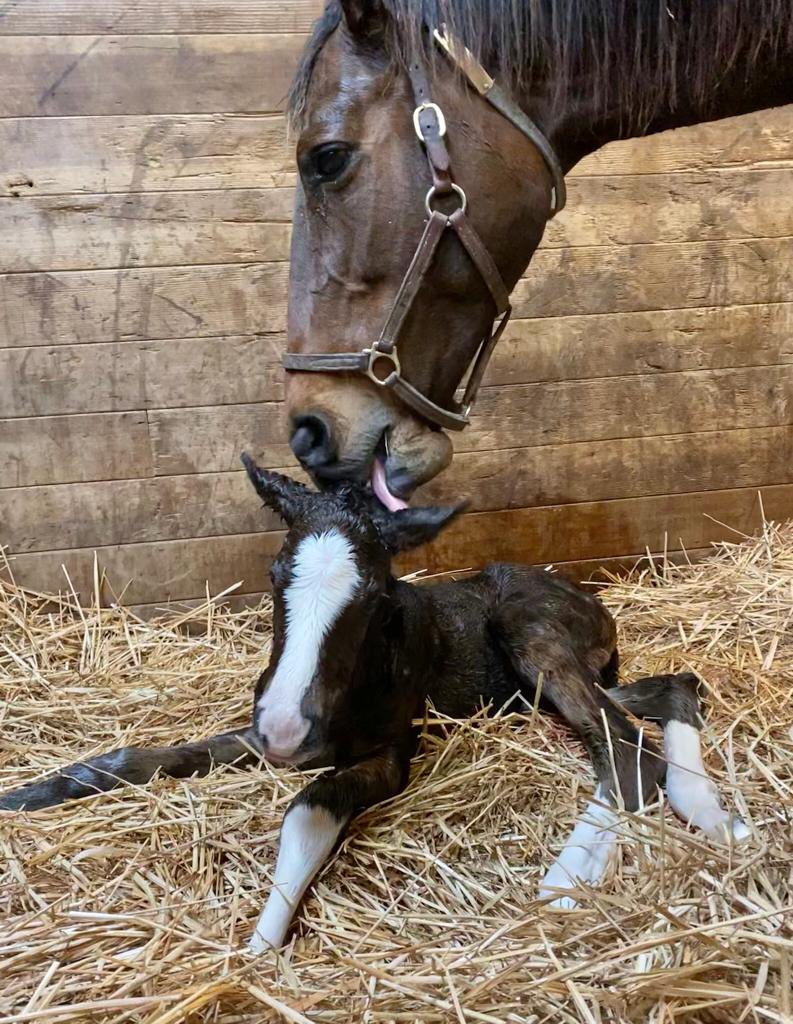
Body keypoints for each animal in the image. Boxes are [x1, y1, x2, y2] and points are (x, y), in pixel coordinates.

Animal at [0, 458, 749, 950]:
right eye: (275, 573)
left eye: (373, 596)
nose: (285, 728)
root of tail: (596, 605)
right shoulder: (260, 734)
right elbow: (133, 758)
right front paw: (25, 797)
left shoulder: (394, 752)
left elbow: (309, 809)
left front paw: (260, 946)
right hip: (527, 694)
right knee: (665, 692)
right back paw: (703, 813)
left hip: (534, 640)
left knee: (622, 739)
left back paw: (572, 875)